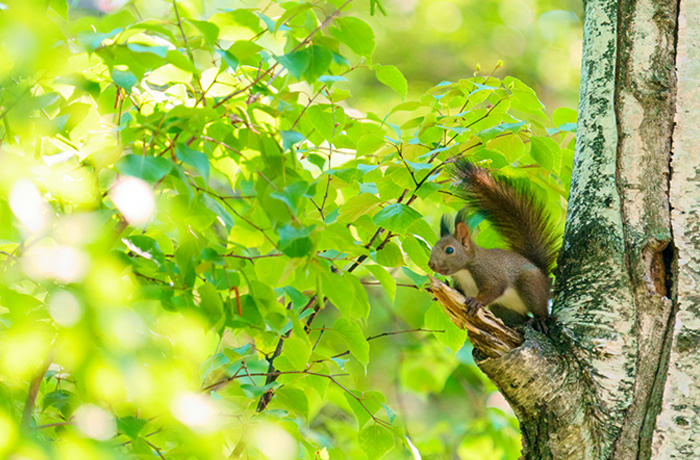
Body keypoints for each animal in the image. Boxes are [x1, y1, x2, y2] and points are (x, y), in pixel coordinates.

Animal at [426, 160, 556, 326]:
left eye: (449, 250)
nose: (431, 265)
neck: (464, 270)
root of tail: (545, 278)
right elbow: (459, 292)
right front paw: (443, 289)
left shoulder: (489, 271)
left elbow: (495, 288)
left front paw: (476, 301)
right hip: (502, 308)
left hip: (530, 285)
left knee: (539, 307)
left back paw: (541, 320)